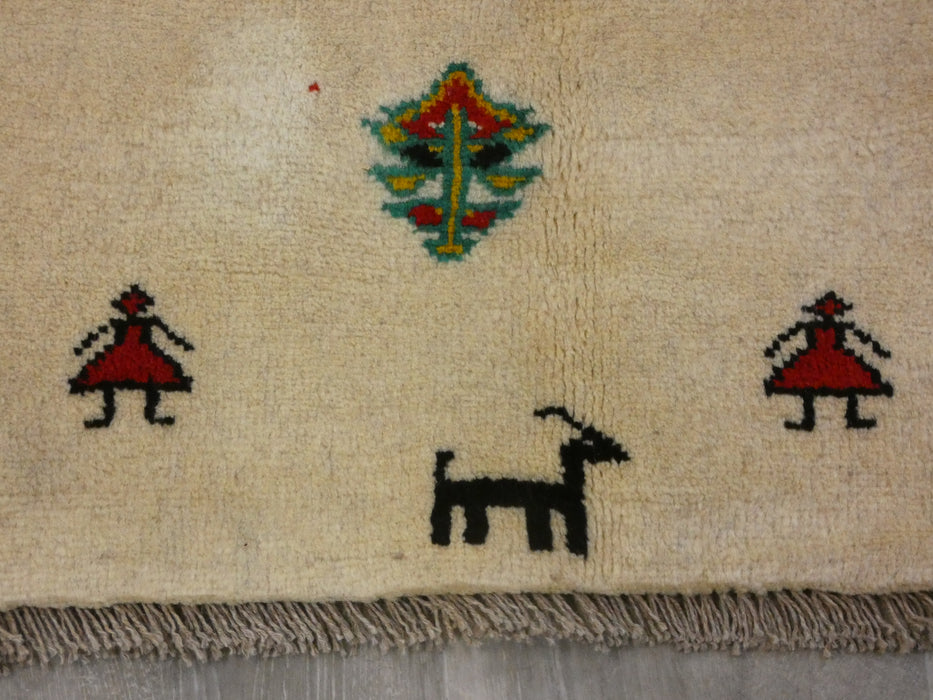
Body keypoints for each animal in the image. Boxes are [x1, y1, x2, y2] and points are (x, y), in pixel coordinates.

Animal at [430, 406, 629, 558]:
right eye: (594, 444)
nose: (622, 454)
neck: (568, 487)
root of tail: (442, 478)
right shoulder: (543, 509)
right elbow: (544, 533)